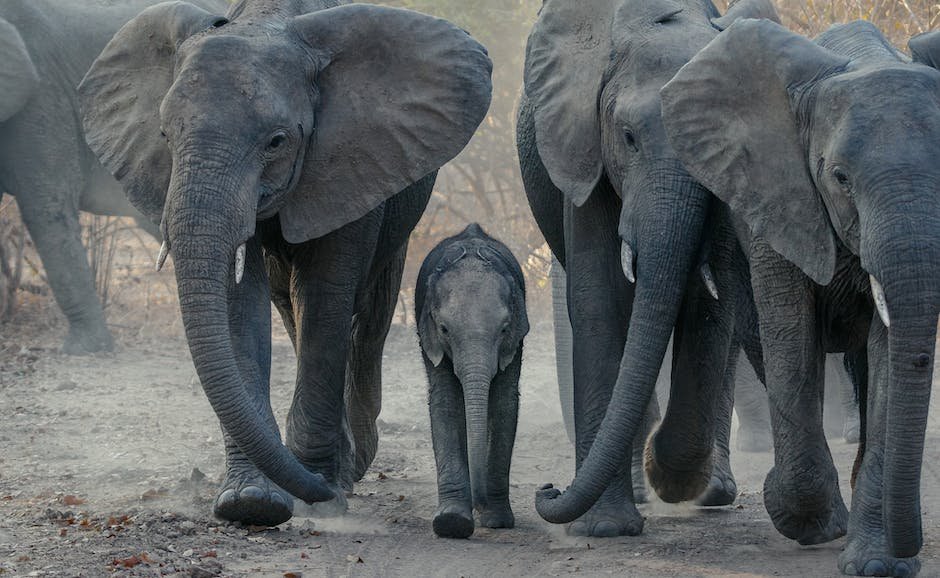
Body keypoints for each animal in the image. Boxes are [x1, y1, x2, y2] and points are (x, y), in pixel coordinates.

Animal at [78, 0, 492, 526]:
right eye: (165, 136)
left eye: (276, 141)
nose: (315, 487)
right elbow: (240, 305)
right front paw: (250, 502)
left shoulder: (351, 158)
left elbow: (326, 296)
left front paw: (322, 496)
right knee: (290, 308)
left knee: (367, 319)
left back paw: (351, 466)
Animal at [416, 223, 528, 539]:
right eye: (444, 329)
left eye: (504, 329)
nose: (481, 503)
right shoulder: (431, 339)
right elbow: (445, 403)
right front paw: (452, 522)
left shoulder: (515, 339)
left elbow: (503, 404)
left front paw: (497, 521)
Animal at [518, 0, 780, 536]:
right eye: (629, 138)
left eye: (708, 144)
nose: (546, 488)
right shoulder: (586, 151)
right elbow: (599, 298)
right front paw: (604, 529)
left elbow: (710, 305)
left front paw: (668, 474)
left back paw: (709, 491)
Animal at [662, 18, 940, 576]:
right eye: (840, 178)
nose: (910, 545)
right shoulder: (777, 197)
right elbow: (791, 334)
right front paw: (809, 523)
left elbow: (887, 357)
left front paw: (878, 565)